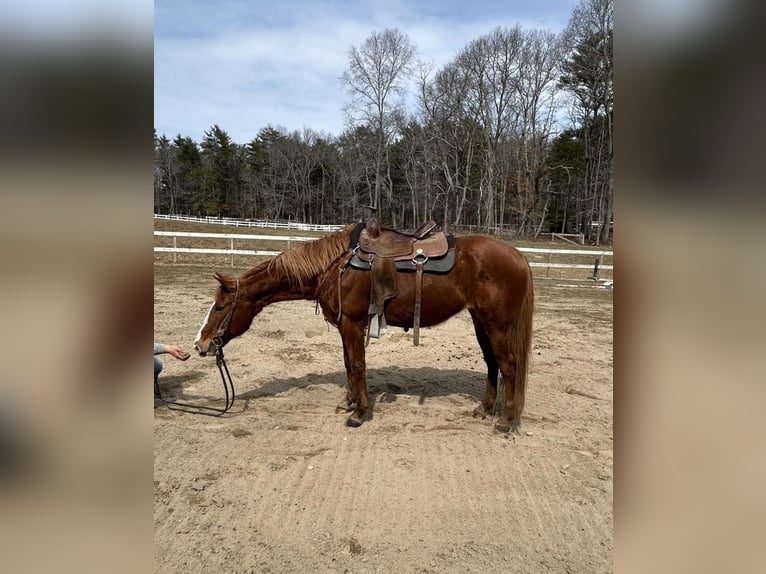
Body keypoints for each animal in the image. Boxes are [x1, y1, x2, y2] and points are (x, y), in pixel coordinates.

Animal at [193, 222, 534, 432]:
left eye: (220, 306)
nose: (201, 343)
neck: (335, 266)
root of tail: (518, 256)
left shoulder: (352, 323)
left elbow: (357, 364)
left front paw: (359, 413)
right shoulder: (344, 326)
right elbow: (348, 364)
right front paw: (349, 403)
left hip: (498, 325)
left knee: (509, 366)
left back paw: (505, 421)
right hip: (481, 322)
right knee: (492, 364)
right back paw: (485, 410)